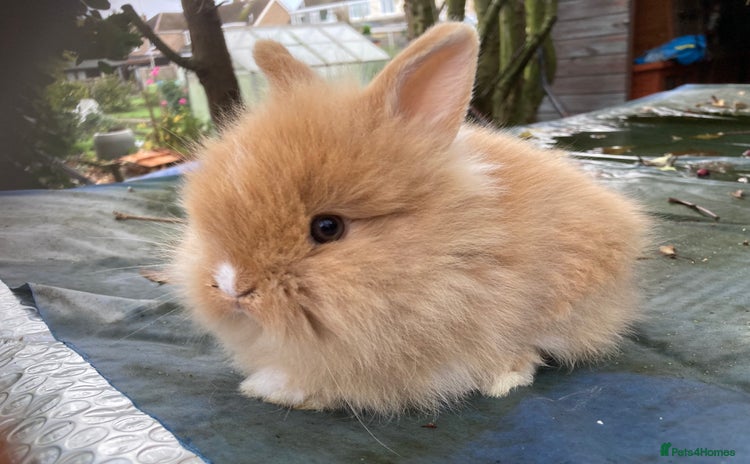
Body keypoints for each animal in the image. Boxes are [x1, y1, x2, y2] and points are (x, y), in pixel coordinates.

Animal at [171, 22, 649, 415]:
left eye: (327, 228)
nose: (232, 287)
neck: (445, 253)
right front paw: (261, 385)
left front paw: (273, 389)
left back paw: (503, 379)